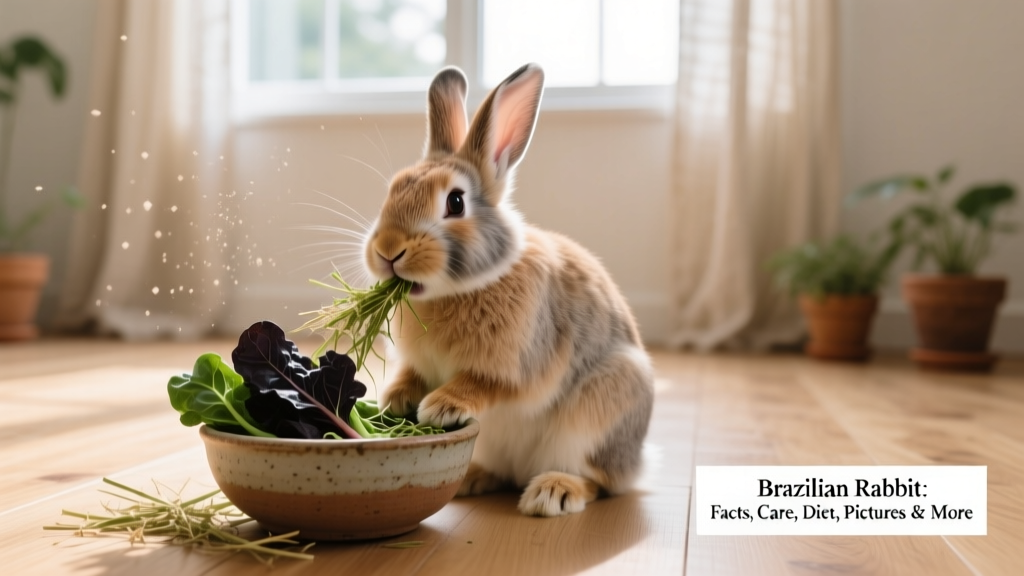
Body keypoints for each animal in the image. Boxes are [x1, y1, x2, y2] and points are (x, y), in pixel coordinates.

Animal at [365, 63, 655, 517]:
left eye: (455, 202)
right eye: (394, 188)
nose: (387, 250)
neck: (454, 291)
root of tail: (638, 463)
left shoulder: (521, 364)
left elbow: (486, 384)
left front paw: (441, 407)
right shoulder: (418, 364)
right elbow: (409, 376)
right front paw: (393, 401)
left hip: (598, 416)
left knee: (600, 482)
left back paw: (553, 492)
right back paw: (473, 478)